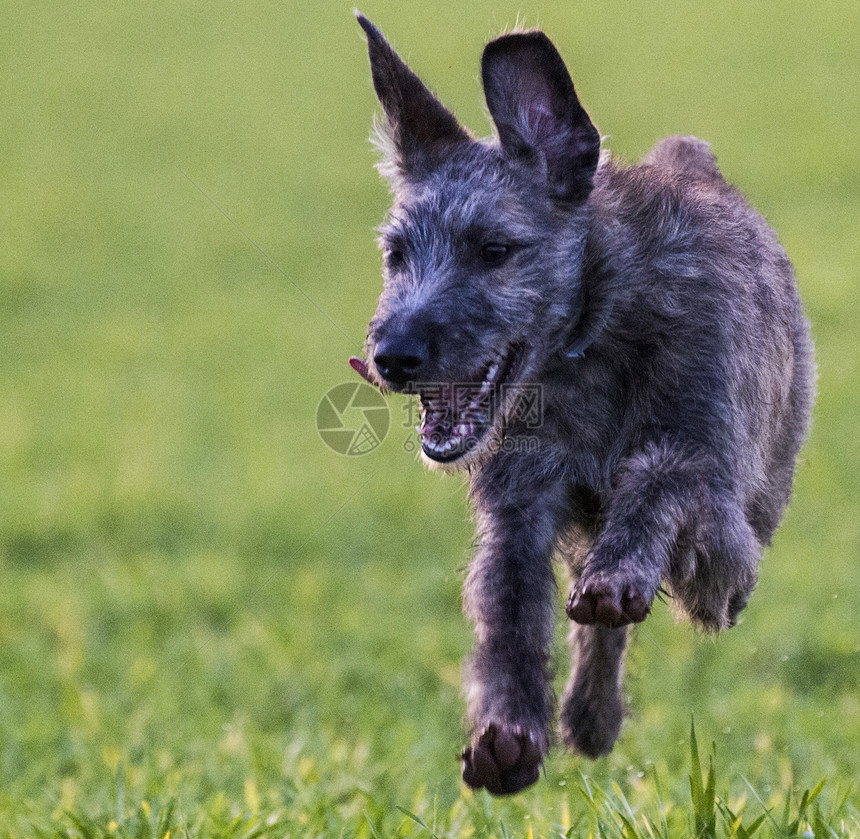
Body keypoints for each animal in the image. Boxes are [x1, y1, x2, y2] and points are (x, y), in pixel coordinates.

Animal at [350, 16, 812, 796]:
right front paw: (508, 731)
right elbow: (509, 605)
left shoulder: (712, 481)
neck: (594, 331)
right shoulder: (520, 503)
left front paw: (620, 569)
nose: (392, 356)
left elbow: (663, 481)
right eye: (396, 253)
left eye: (495, 250)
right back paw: (590, 717)